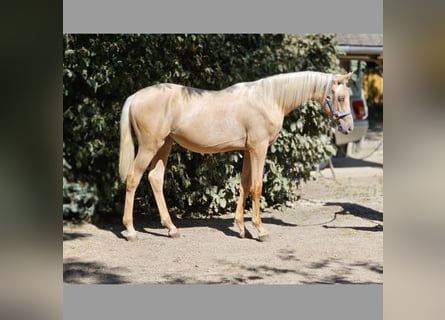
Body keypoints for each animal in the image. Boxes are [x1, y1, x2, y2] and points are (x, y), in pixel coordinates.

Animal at [119, 70, 352, 240]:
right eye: (340, 97)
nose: (348, 127)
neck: (268, 99)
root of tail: (135, 96)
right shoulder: (259, 149)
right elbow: (257, 186)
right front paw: (260, 229)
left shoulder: (248, 150)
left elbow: (245, 184)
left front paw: (241, 228)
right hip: (149, 146)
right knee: (133, 178)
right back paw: (130, 230)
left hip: (164, 145)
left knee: (155, 179)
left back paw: (171, 228)